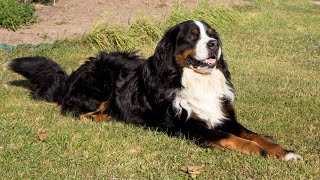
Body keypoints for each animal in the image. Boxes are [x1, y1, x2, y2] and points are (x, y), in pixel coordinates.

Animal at [6, 20, 304, 161]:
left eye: (211, 34)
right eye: (193, 36)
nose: (215, 44)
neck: (194, 80)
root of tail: (73, 75)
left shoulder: (222, 117)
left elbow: (255, 135)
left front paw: (284, 152)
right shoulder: (189, 126)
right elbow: (237, 140)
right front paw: (260, 152)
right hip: (101, 79)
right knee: (76, 112)